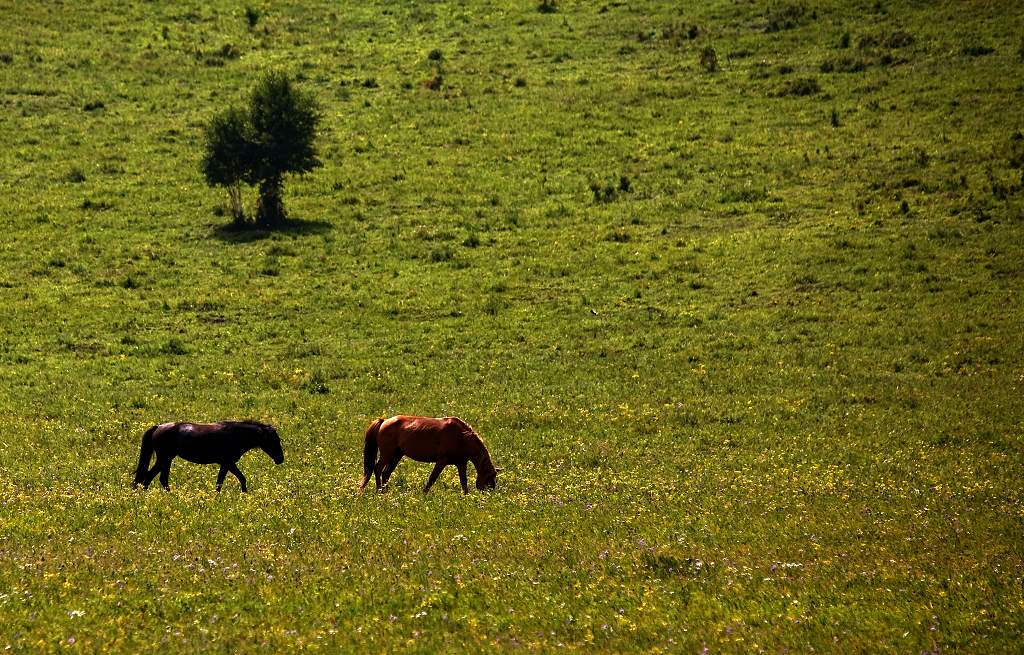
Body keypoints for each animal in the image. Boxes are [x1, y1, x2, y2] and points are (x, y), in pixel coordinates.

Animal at [134, 419, 284, 491]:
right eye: (273, 440)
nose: (280, 459)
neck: (236, 435)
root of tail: (158, 427)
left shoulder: (227, 464)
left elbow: (238, 479)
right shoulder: (227, 463)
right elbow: (224, 482)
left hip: (167, 459)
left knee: (158, 479)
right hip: (164, 458)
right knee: (150, 477)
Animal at [362, 417, 497, 493]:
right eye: (490, 477)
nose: (491, 494)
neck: (461, 437)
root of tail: (384, 421)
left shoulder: (461, 463)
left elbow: (464, 482)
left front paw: (466, 496)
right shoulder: (441, 461)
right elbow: (432, 479)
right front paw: (424, 494)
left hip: (397, 455)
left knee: (386, 473)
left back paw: (385, 491)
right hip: (387, 454)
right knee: (378, 469)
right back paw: (379, 491)